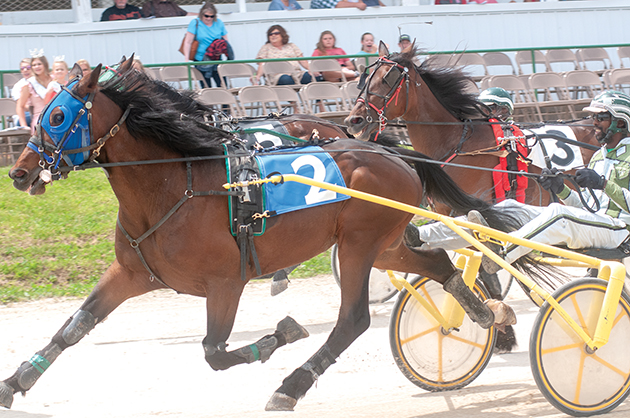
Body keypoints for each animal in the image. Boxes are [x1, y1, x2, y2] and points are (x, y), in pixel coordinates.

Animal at [1, 55, 524, 412]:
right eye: (42, 111)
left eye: (57, 117)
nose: (20, 172)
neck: (174, 185)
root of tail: (391, 152)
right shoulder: (131, 272)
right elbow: (74, 327)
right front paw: (14, 383)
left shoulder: (225, 283)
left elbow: (214, 353)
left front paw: (284, 333)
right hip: (386, 245)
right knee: (437, 264)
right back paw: (489, 315)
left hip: (359, 243)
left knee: (352, 319)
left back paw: (290, 386)